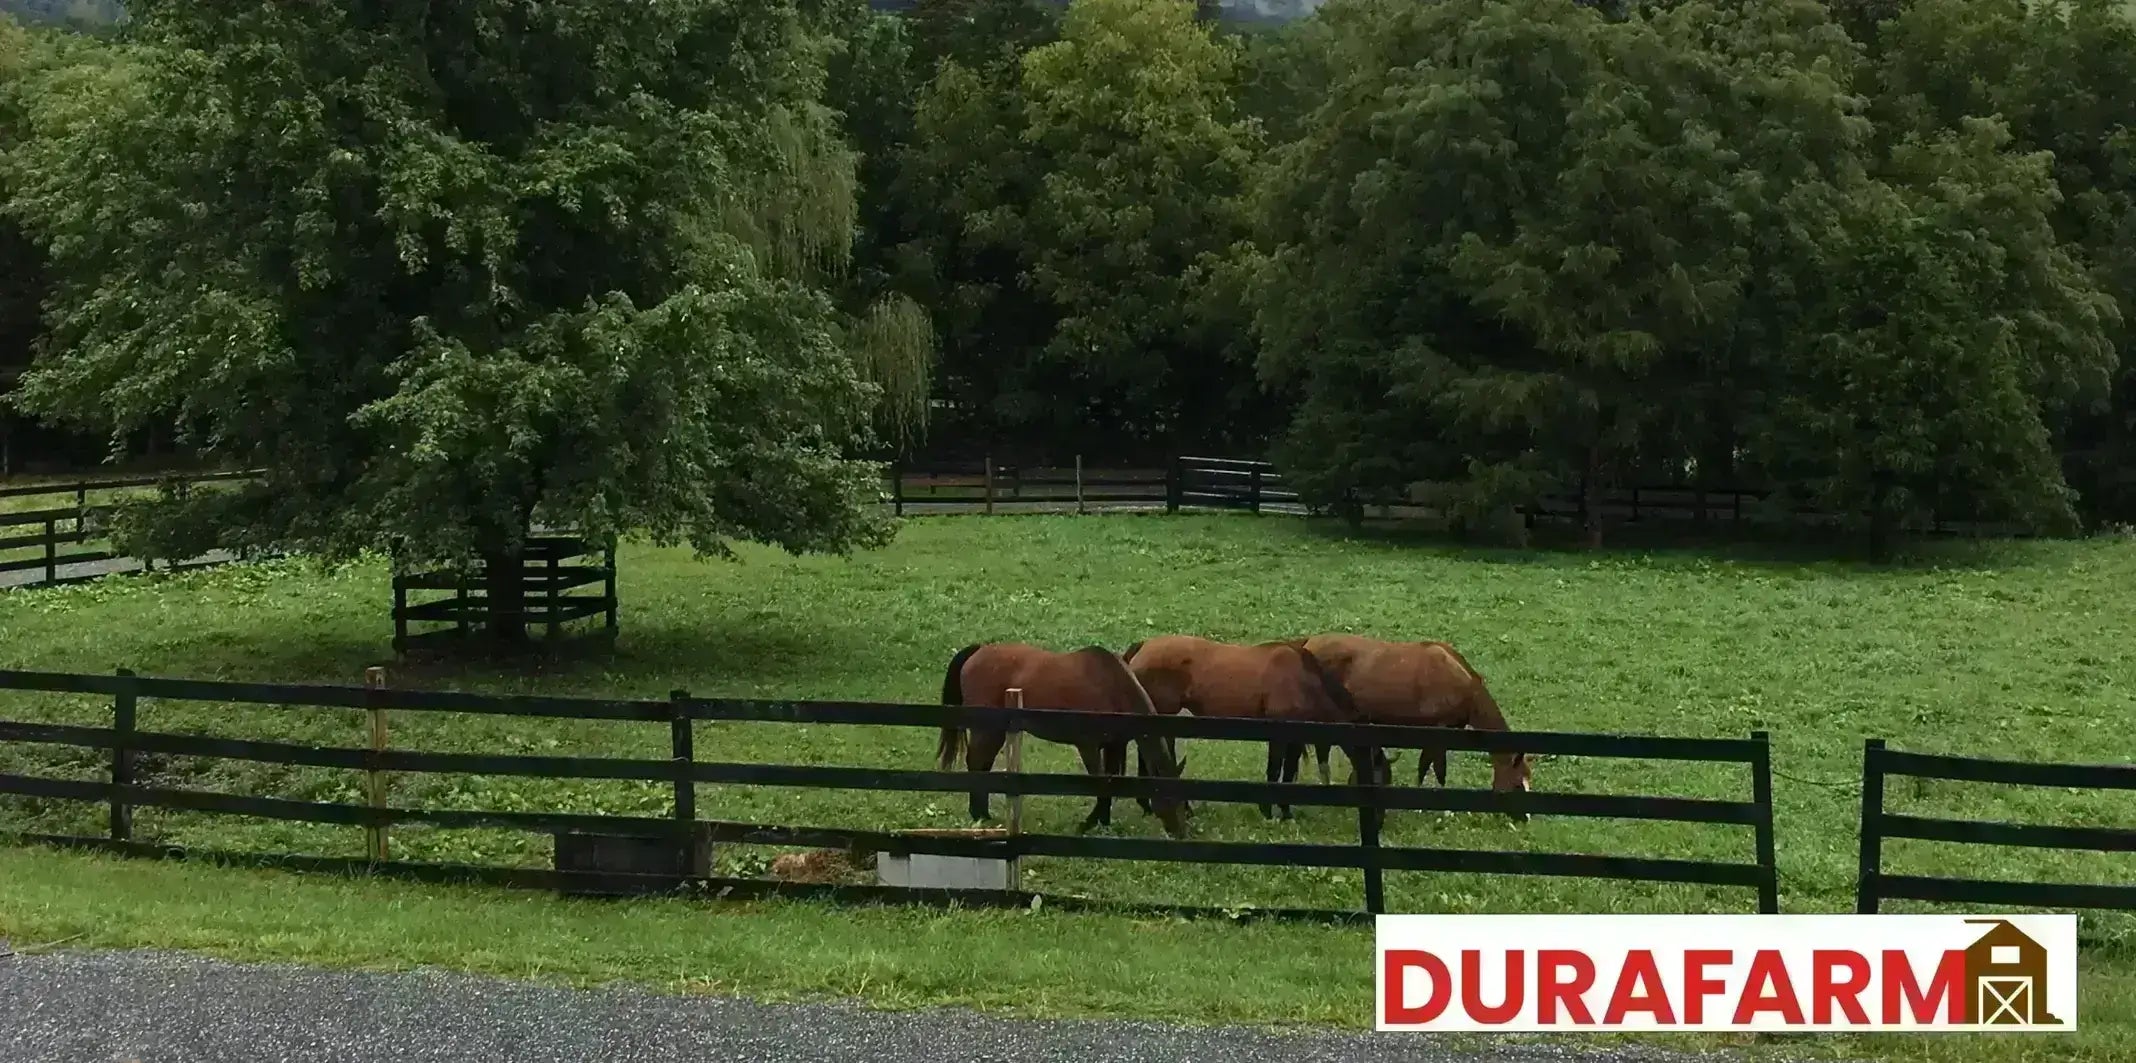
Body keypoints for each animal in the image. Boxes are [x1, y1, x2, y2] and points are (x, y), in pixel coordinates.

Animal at [937, 641, 1191, 838]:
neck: (1112, 686)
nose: (1180, 833)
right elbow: (1101, 785)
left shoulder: (1113, 746)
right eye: (1169, 797)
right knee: (975, 763)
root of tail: (978, 651)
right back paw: (978, 815)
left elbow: (1110, 782)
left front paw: (1103, 822)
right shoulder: (1088, 746)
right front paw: (1089, 824)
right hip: (986, 729)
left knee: (983, 765)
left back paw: (984, 814)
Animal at [1122, 634, 1384, 821]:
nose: (1380, 819)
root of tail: (1143, 647)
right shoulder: (1279, 733)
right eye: (1380, 777)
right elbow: (1275, 771)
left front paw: (1286, 812)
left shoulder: (1295, 737)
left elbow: (1288, 772)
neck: (1302, 678)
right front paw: (1268, 811)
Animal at [1299, 634, 1531, 819]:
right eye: (1518, 785)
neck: (1459, 681)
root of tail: (1308, 643)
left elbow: (1424, 766)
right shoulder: (1439, 732)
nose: (1525, 818)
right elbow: (1438, 769)